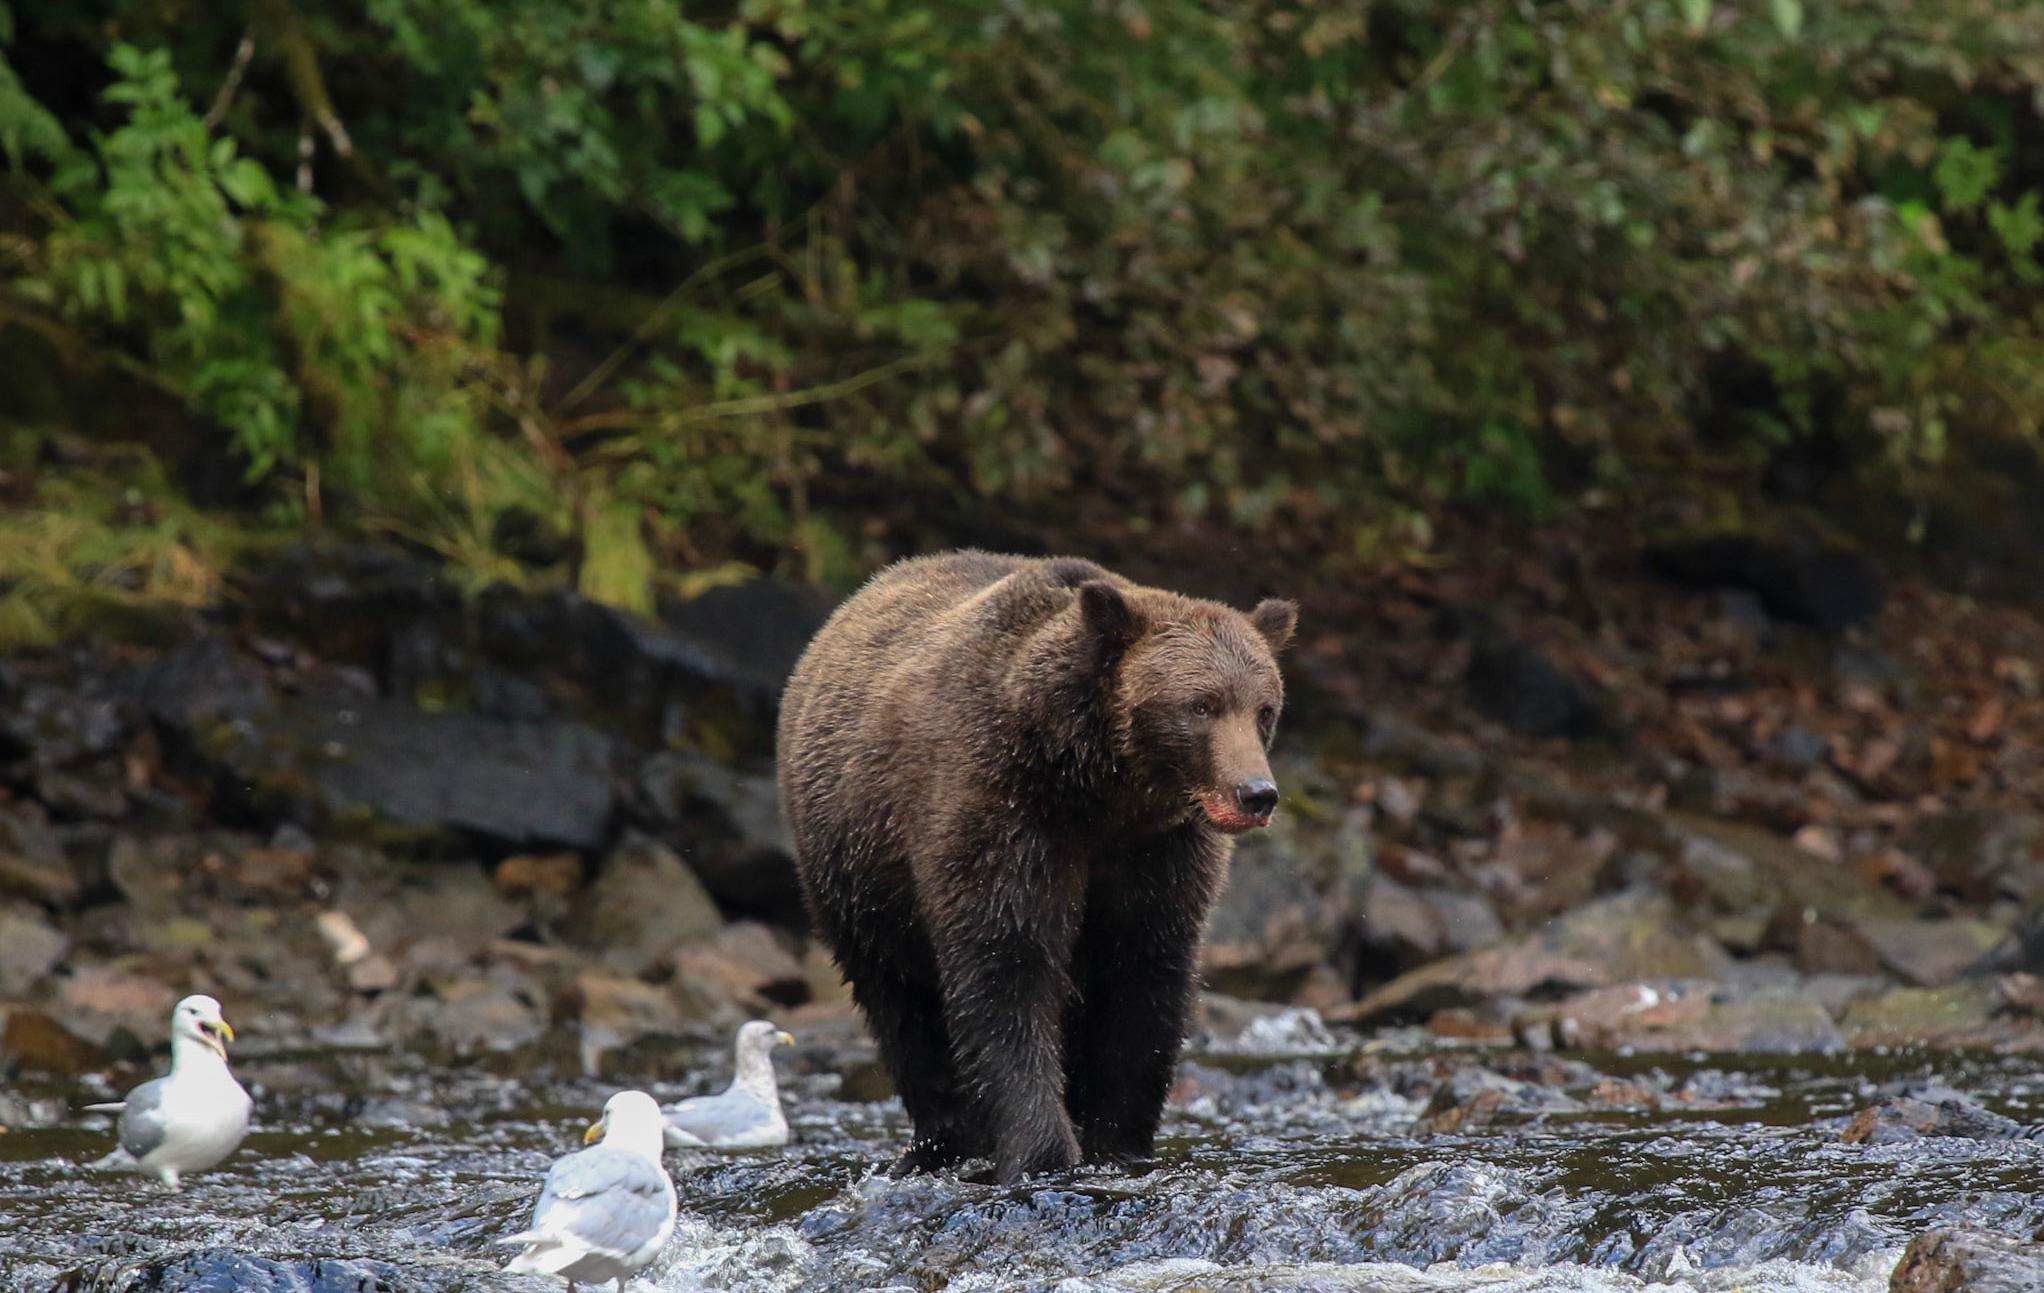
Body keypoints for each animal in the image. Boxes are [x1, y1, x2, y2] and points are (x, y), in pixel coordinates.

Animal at [777, 550, 1297, 1183]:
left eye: (1264, 708)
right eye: (1201, 704)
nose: (1257, 793)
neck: (1097, 791)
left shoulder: (1158, 853)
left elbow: (1144, 978)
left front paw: (1117, 1144)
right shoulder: (999, 813)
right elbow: (1006, 966)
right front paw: (1041, 1151)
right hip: (857, 867)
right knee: (896, 999)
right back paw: (940, 1139)